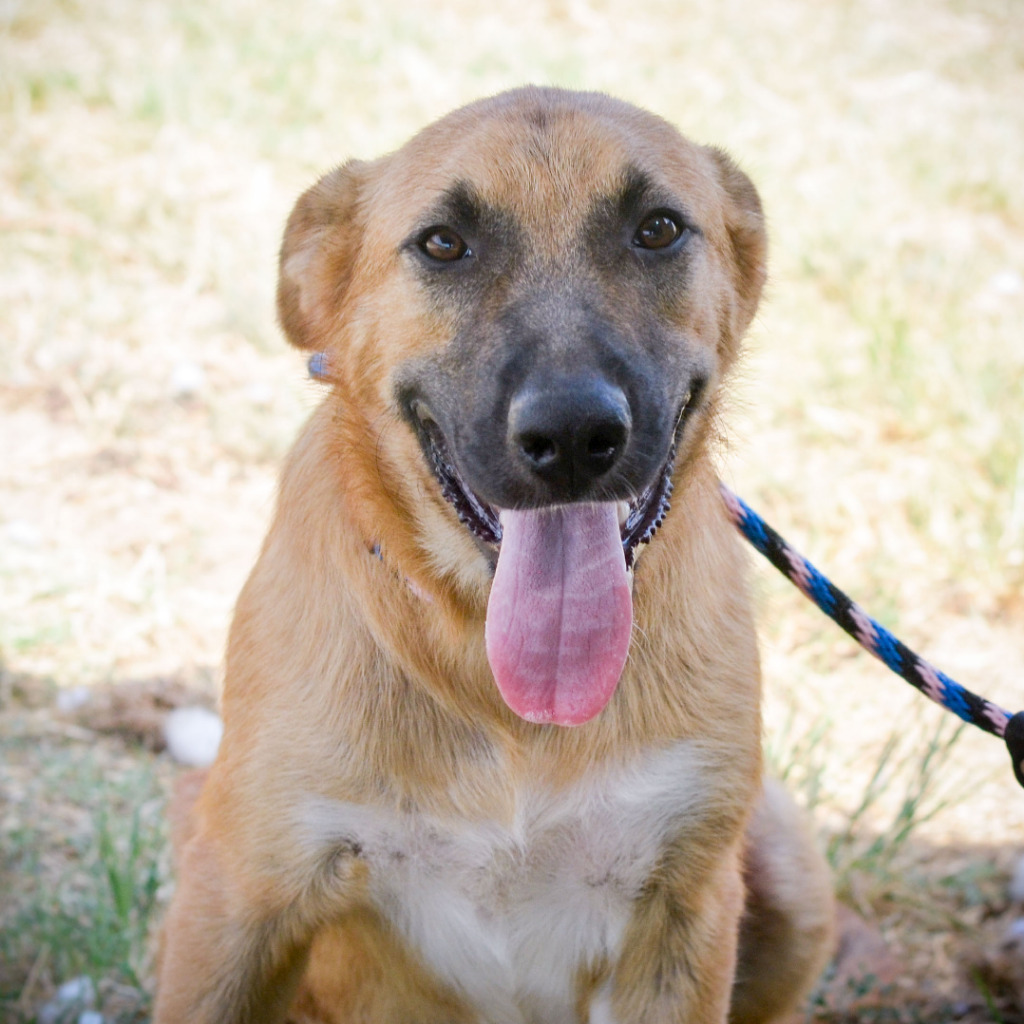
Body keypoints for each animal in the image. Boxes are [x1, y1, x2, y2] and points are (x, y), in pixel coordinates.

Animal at [155, 86, 835, 1024]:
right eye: (444, 243)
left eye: (658, 228)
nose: (574, 436)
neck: (501, 693)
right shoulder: (240, 894)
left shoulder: (684, 908)